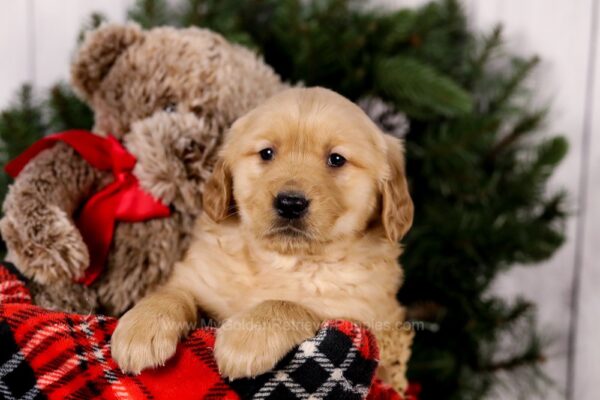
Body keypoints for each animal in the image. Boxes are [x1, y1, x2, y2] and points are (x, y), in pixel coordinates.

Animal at [110, 86, 414, 390]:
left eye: (336, 159)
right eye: (267, 153)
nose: (290, 203)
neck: (282, 259)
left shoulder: (361, 314)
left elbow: (288, 304)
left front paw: (246, 338)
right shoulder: (198, 277)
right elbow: (172, 292)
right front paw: (142, 327)